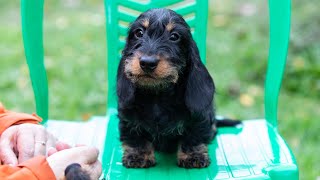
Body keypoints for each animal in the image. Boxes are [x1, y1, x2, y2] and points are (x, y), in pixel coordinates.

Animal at [116, 8, 239, 169]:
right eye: (139, 33)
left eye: (174, 36)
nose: (147, 62)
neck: (157, 95)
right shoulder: (128, 118)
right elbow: (135, 136)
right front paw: (139, 155)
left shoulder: (199, 117)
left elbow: (194, 135)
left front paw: (193, 156)